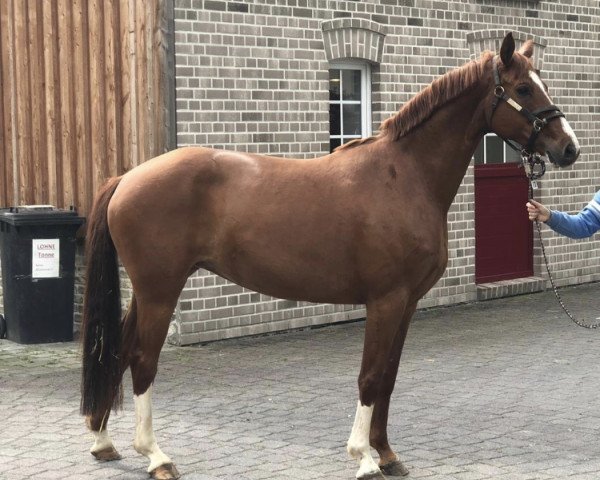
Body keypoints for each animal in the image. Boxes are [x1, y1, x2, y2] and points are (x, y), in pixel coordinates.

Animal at [82, 31, 580, 478]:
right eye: (522, 88)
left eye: (542, 82)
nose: (569, 148)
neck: (404, 176)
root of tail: (127, 178)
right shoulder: (385, 300)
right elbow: (370, 376)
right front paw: (364, 458)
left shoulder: (408, 303)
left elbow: (389, 376)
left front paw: (387, 453)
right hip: (160, 291)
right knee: (143, 361)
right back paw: (156, 456)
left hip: (147, 293)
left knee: (119, 352)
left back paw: (104, 442)